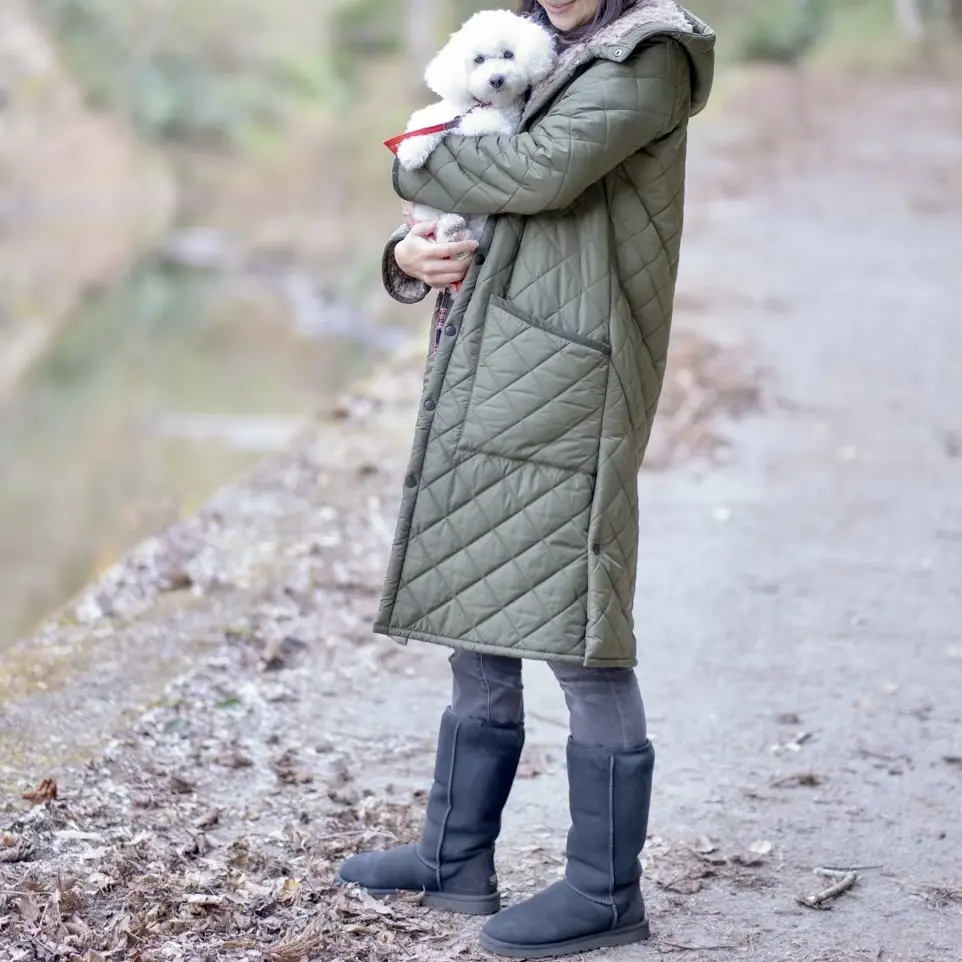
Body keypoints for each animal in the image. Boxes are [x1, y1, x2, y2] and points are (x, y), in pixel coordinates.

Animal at [392, 8, 556, 248]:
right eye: (478, 59)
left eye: (508, 54)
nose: (496, 79)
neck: (484, 103)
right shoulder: (444, 111)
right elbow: (425, 122)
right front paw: (412, 153)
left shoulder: (505, 123)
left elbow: (470, 123)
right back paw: (451, 228)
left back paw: (455, 231)